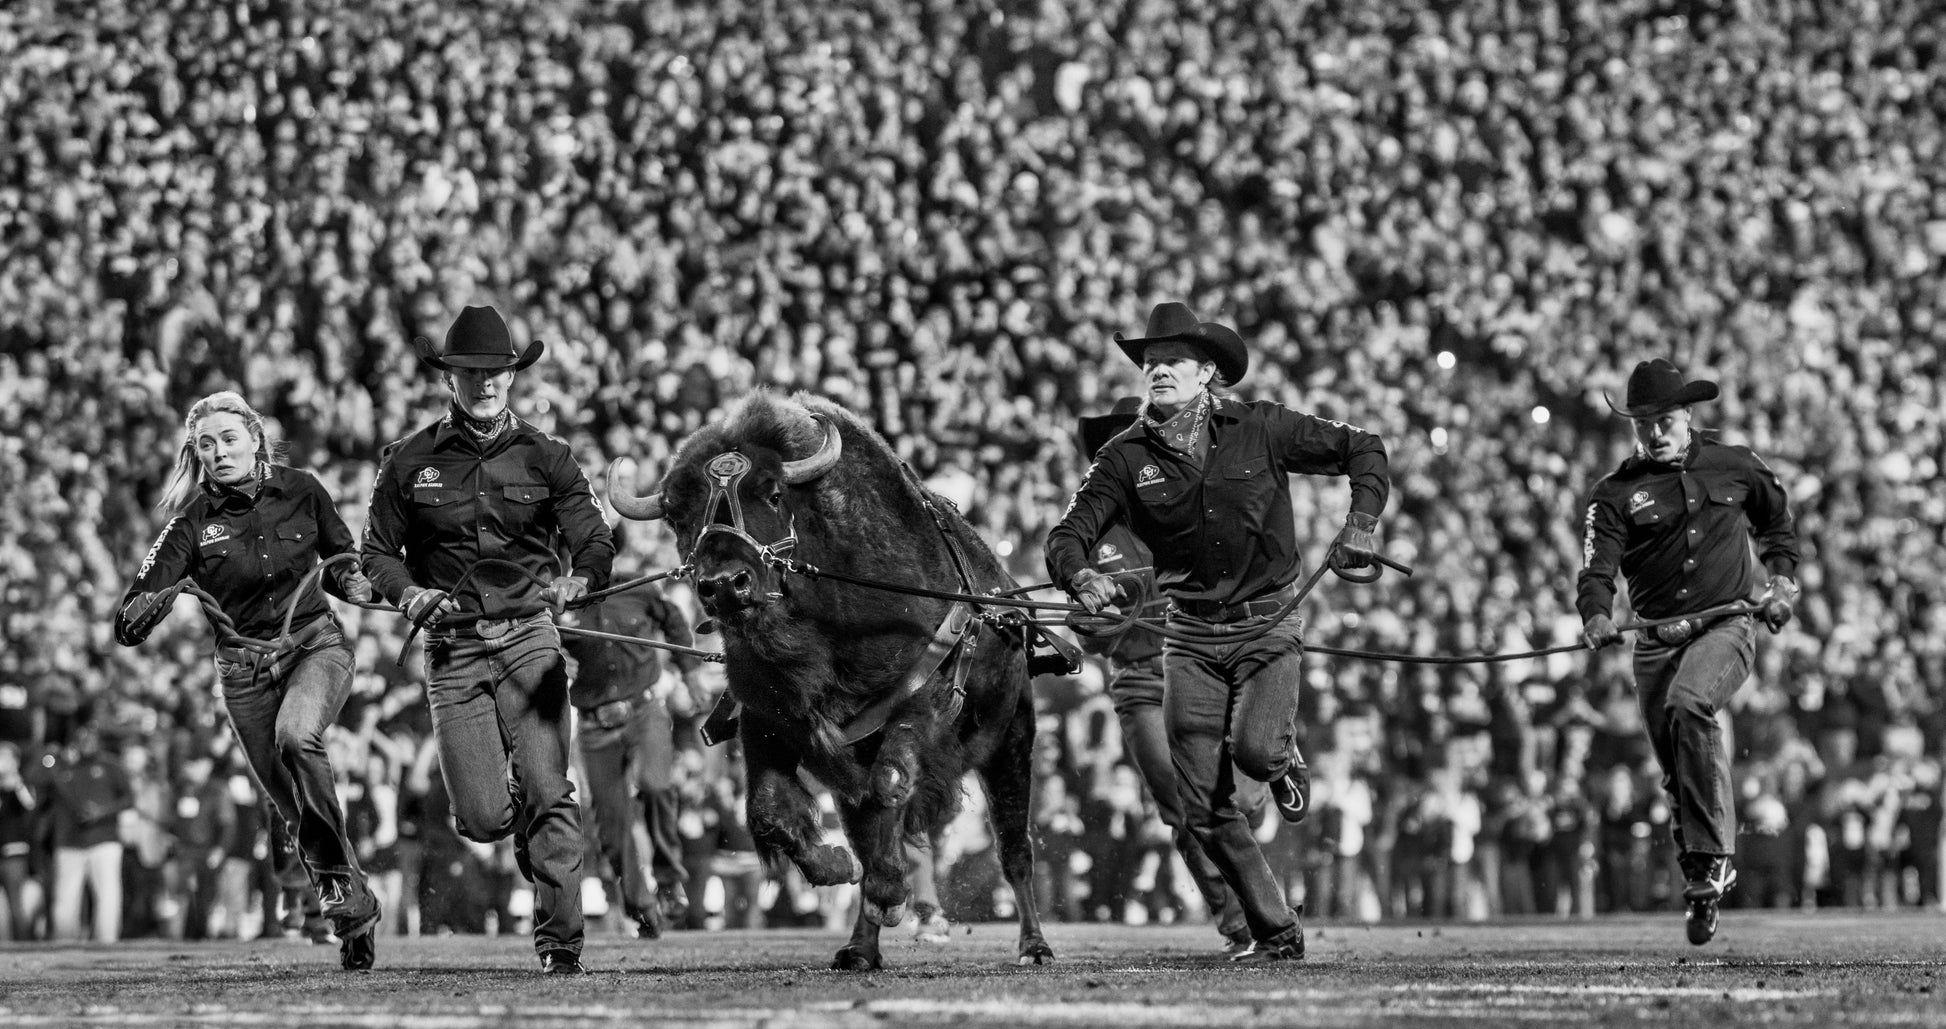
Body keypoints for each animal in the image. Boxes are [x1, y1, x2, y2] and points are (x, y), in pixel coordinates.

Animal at [607, 390, 1050, 972]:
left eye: (773, 494)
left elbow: (891, 786)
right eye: (679, 516)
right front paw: (843, 868)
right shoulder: (770, 725)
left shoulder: (921, 706)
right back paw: (859, 948)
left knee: (1014, 849)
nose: (725, 585)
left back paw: (1033, 946)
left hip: (1012, 739)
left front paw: (888, 889)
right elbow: (772, 812)